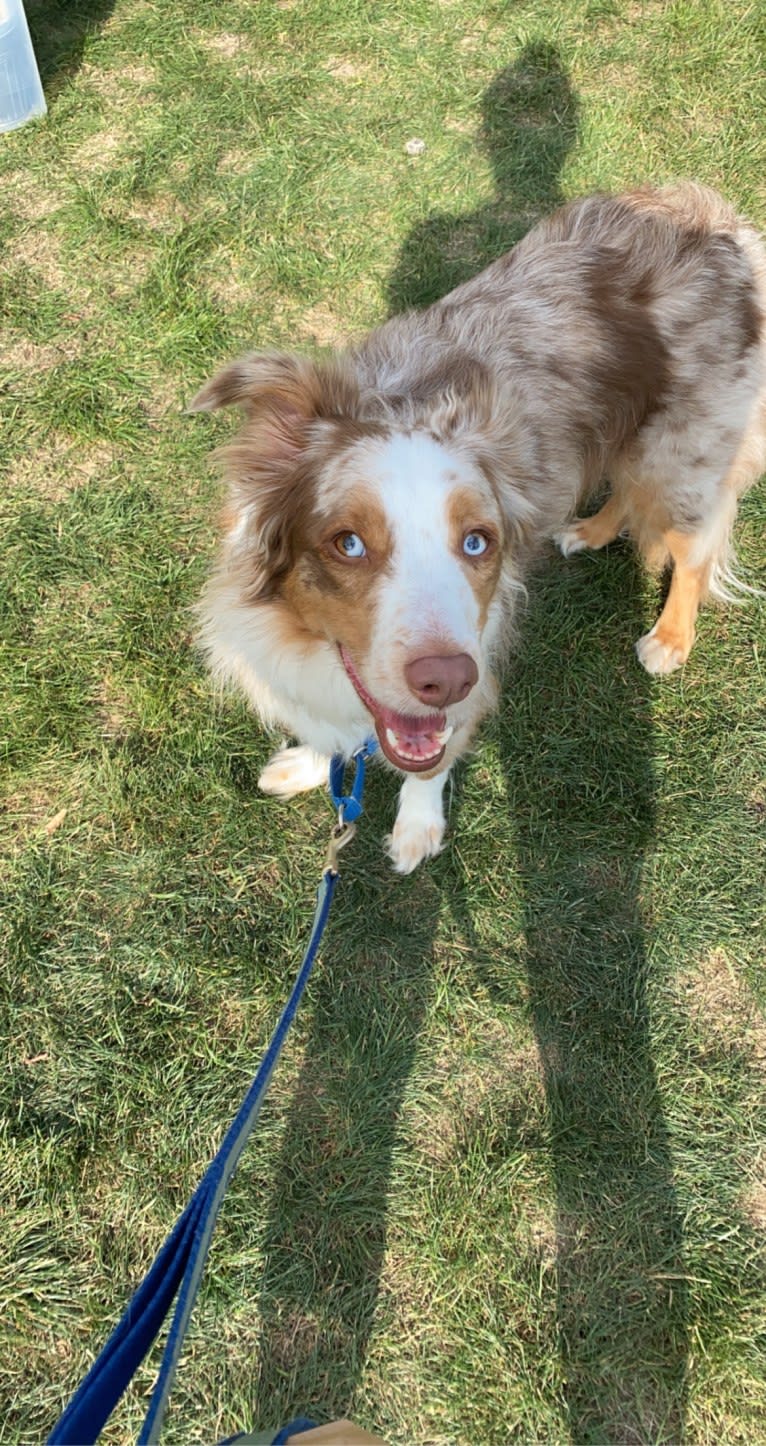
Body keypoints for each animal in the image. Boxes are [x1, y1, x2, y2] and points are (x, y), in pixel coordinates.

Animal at [190, 186, 763, 873]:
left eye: (476, 541)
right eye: (347, 544)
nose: (446, 680)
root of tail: (723, 220)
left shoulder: (480, 654)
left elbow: (430, 763)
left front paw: (417, 826)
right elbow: (330, 727)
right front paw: (308, 764)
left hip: (680, 455)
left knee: (694, 546)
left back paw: (669, 639)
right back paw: (587, 531)